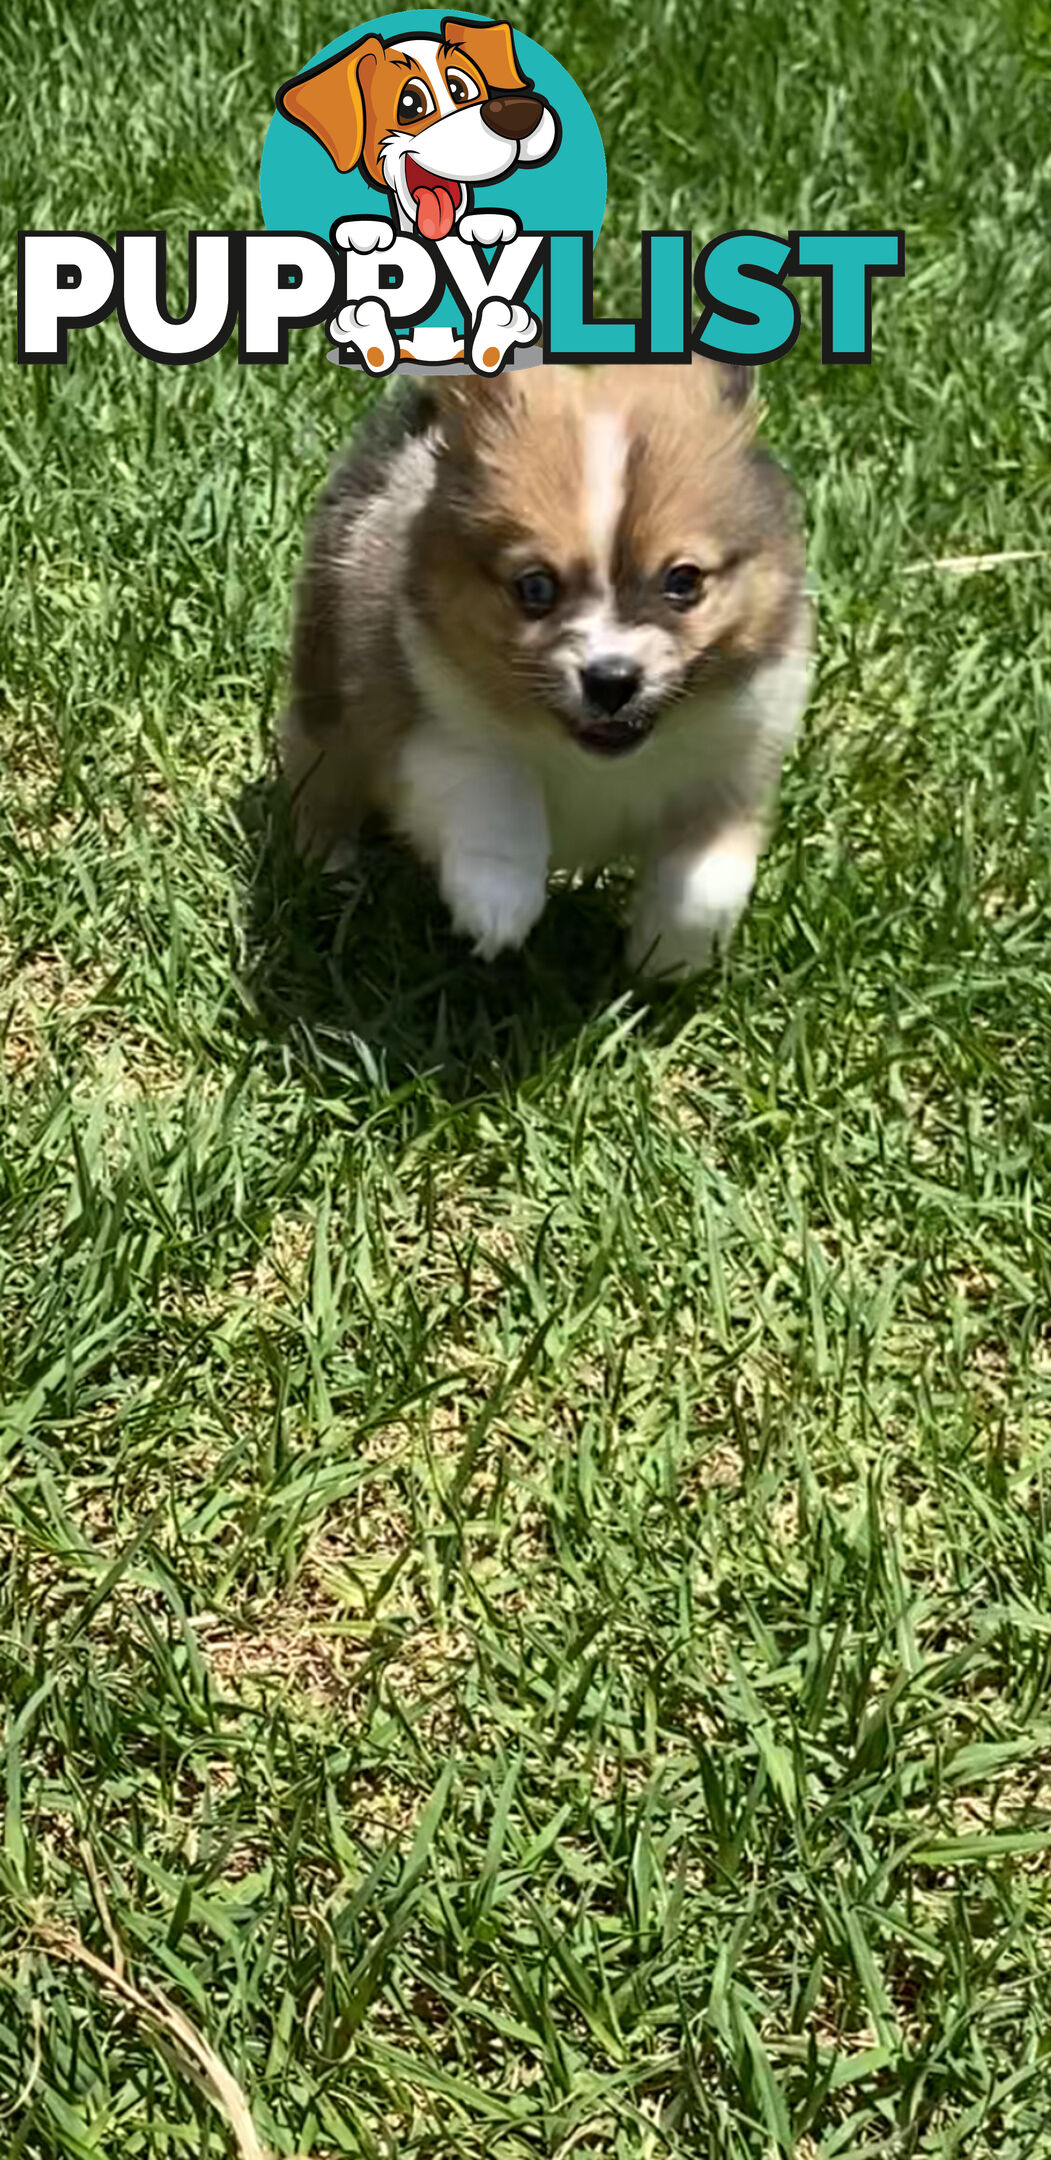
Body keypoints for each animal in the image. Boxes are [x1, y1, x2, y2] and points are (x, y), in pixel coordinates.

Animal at [282, 362, 815, 980]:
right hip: (327, 699)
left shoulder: (735, 761)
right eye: (535, 587)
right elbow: (495, 795)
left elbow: (706, 881)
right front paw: (497, 905)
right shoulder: (433, 728)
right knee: (323, 777)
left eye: (683, 581)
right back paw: (330, 867)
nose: (612, 680)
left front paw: (669, 953)